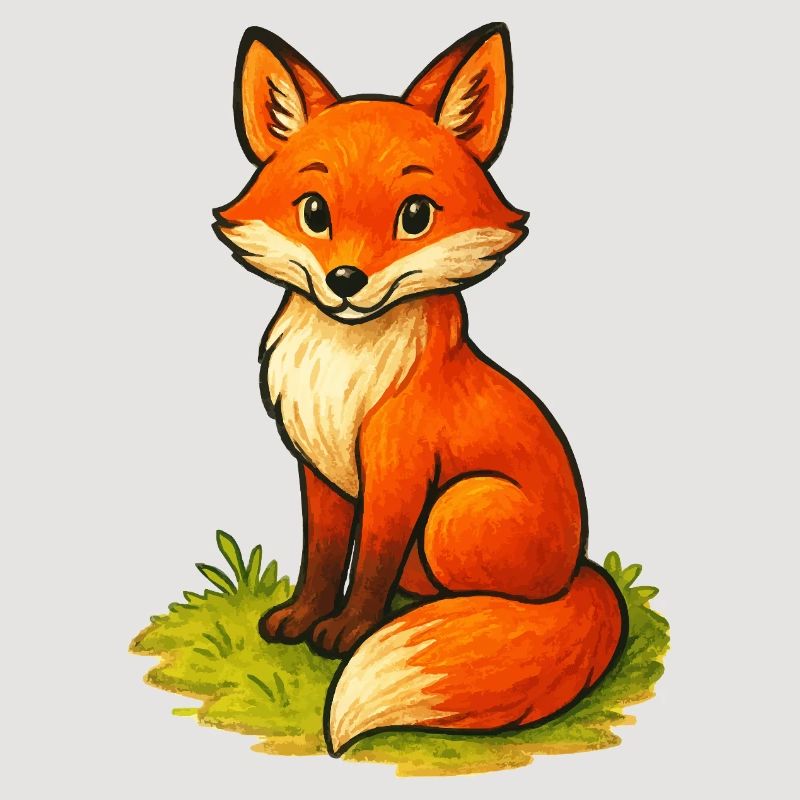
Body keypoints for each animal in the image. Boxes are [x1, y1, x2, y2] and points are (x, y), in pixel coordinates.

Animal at [213, 23, 627, 758]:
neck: (344, 369)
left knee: (488, 597)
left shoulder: (399, 467)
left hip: (457, 510)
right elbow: (324, 556)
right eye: (314, 212)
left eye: (414, 216)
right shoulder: (318, 467)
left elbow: (371, 562)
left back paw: (450, 614)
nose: (346, 281)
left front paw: (348, 634)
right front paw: (303, 618)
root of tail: (580, 569)